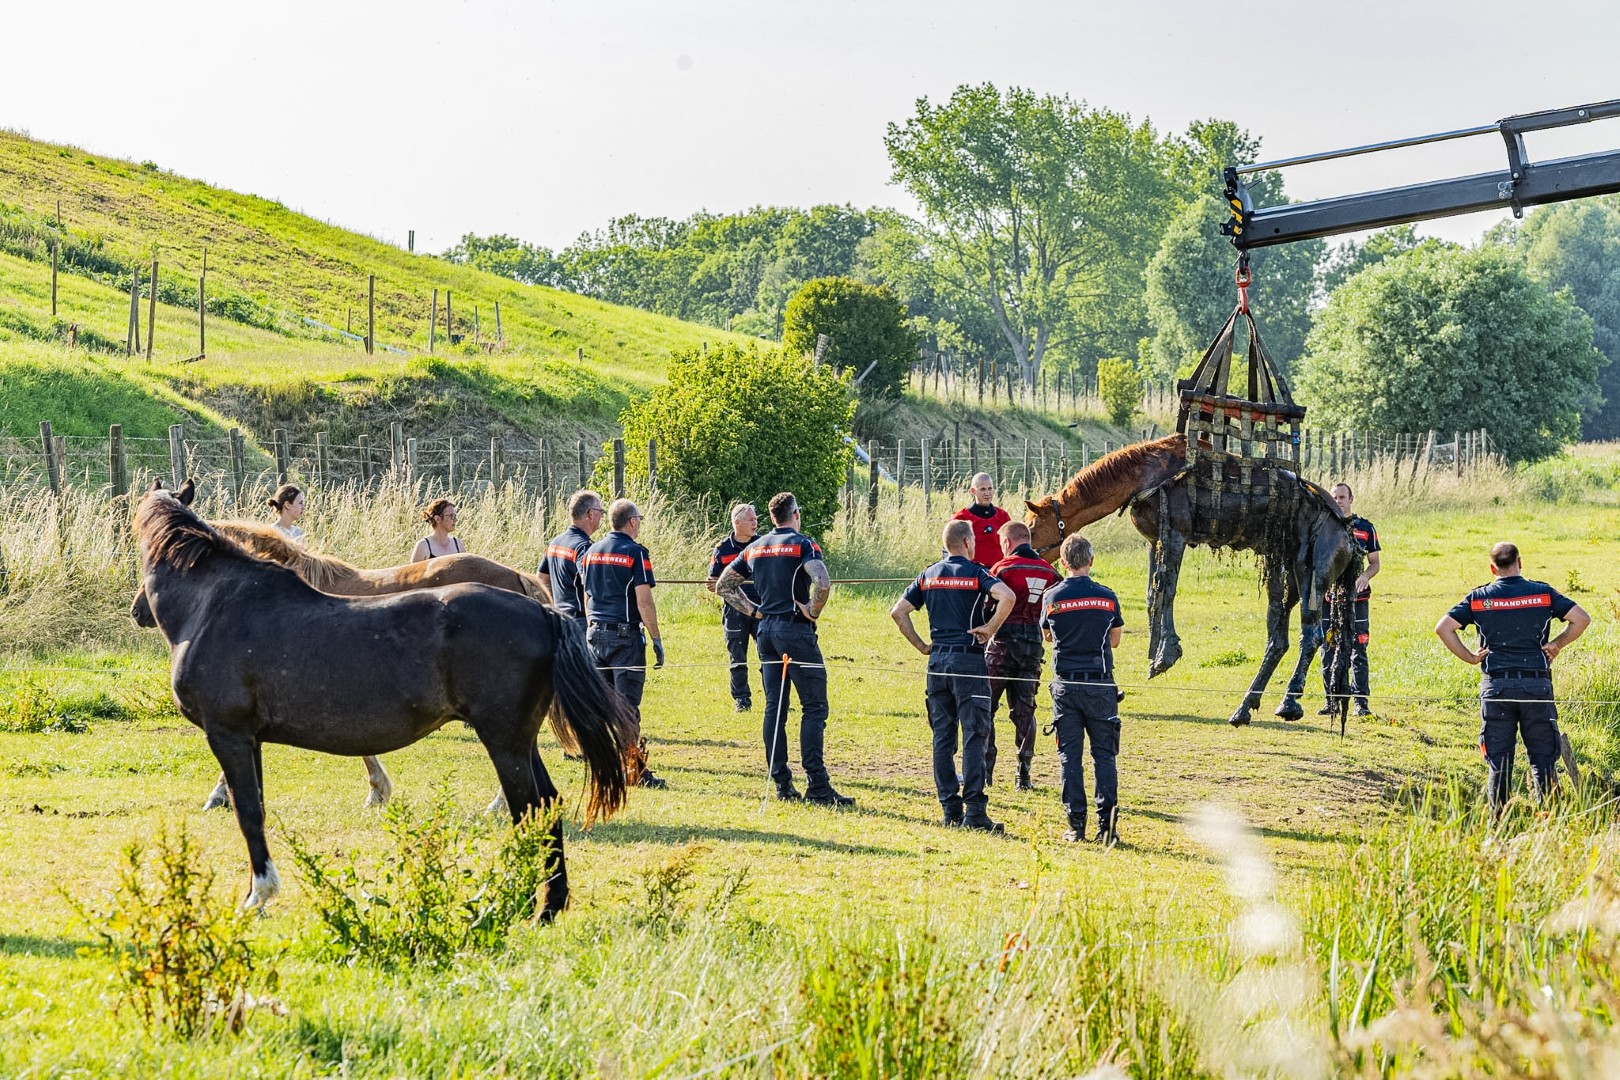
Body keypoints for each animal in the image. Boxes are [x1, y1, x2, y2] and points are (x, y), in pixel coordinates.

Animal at [1024, 435, 1362, 728]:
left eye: (1032, 526)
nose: (1024, 549)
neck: (1145, 477)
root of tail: (1347, 532)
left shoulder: (1176, 535)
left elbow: (1168, 591)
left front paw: (1166, 655)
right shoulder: (1156, 540)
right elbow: (1153, 594)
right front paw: (1154, 653)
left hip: (1310, 576)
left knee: (1311, 635)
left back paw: (1288, 703)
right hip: (1283, 576)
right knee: (1278, 640)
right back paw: (1245, 707)